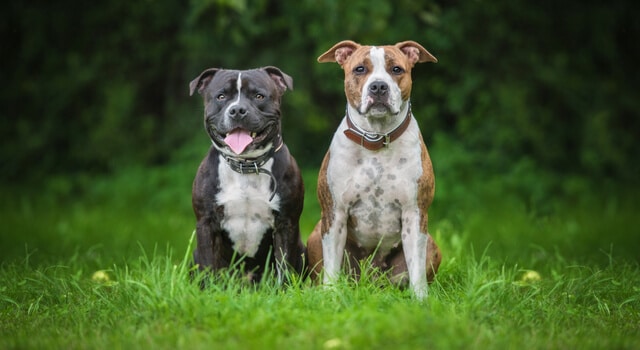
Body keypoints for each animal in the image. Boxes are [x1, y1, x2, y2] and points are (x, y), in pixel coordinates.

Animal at [188, 67, 304, 284]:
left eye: (259, 96)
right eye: (221, 96)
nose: (237, 110)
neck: (246, 166)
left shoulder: (286, 223)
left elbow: (284, 266)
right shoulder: (206, 223)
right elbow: (208, 267)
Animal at [308, 40, 442, 298]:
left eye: (396, 69)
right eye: (360, 69)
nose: (378, 86)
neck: (376, 139)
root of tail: (370, 280)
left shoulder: (414, 213)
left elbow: (417, 269)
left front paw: (421, 300)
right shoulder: (335, 213)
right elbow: (331, 266)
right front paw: (330, 296)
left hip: (430, 244)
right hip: (317, 234)